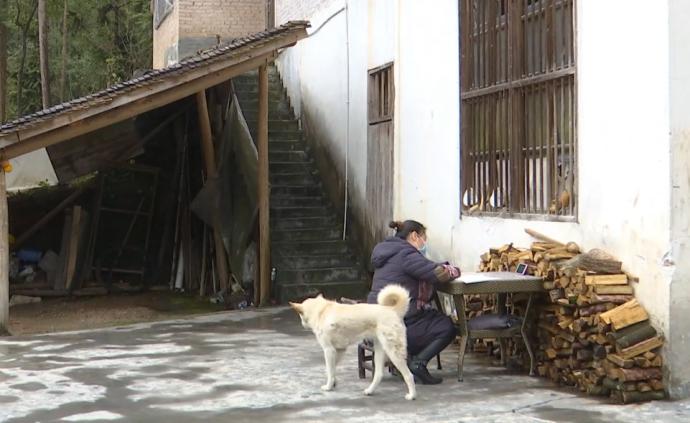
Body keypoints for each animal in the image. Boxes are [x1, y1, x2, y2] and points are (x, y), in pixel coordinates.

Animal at [288, 284, 416, 400]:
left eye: (300, 315)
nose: (302, 324)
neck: (321, 311)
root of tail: (392, 310)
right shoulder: (339, 350)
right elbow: (331, 370)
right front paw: (334, 382)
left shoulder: (329, 350)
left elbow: (330, 370)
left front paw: (329, 386)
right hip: (379, 350)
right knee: (379, 374)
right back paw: (370, 391)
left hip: (393, 352)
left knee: (409, 375)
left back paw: (412, 395)